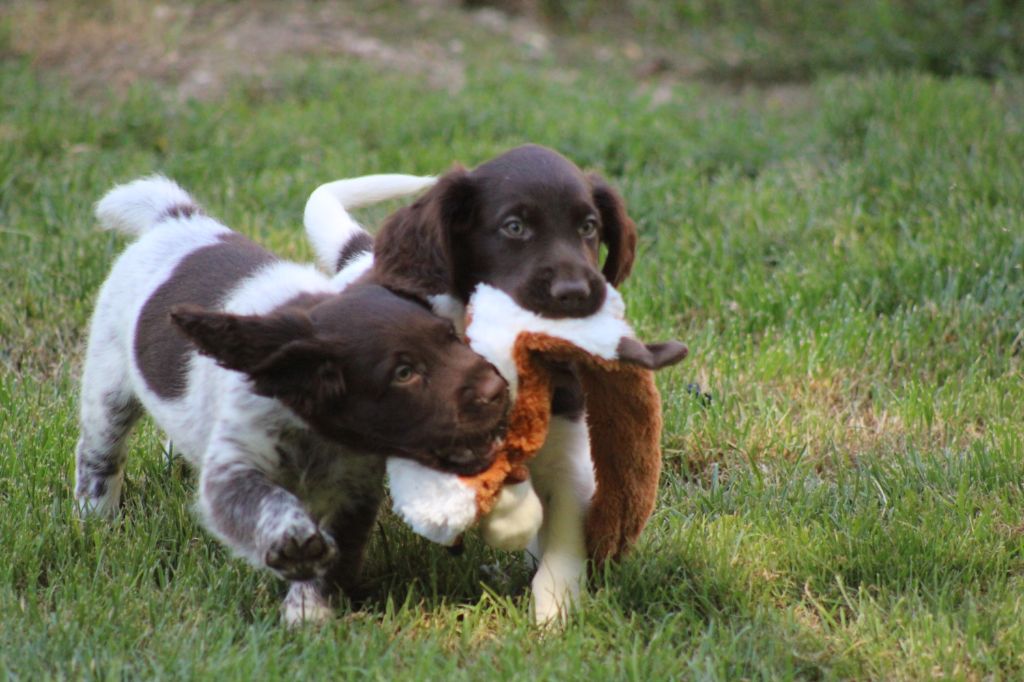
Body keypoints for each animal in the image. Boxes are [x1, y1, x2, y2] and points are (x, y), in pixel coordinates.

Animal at [74, 175, 507, 622]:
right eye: (404, 373)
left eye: (451, 337)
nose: (498, 390)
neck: (314, 431)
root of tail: (177, 217)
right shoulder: (233, 467)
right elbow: (262, 501)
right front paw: (293, 543)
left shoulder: (354, 490)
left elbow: (338, 552)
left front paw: (310, 609)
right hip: (109, 381)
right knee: (99, 454)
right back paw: (97, 518)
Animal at [303, 143, 638, 622]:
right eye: (514, 227)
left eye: (588, 227)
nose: (575, 292)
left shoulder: (567, 449)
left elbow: (563, 538)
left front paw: (555, 613)